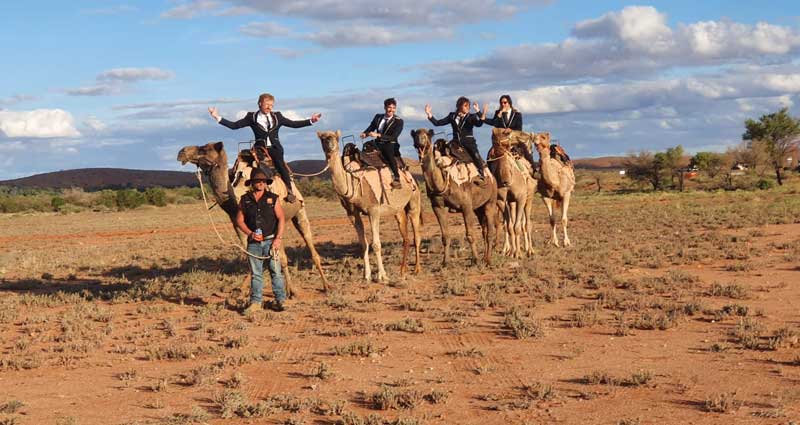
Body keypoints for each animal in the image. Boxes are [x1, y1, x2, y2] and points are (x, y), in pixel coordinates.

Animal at [180, 141, 330, 294]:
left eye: (204, 149)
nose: (182, 152)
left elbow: (280, 259)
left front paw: (292, 291)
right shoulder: (239, 225)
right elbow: (251, 258)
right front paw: (244, 289)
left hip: (300, 211)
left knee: (308, 242)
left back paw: (326, 285)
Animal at [316, 129, 424, 282]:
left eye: (335, 137)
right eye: (323, 138)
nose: (330, 144)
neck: (352, 182)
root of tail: (410, 175)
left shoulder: (374, 210)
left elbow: (376, 244)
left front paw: (381, 276)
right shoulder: (352, 214)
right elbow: (364, 244)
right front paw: (366, 275)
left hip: (414, 201)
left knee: (416, 235)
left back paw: (416, 269)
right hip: (398, 210)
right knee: (406, 238)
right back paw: (402, 271)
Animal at [412, 127, 494, 264]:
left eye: (428, 135)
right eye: (415, 135)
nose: (420, 141)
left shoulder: (466, 206)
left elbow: (470, 234)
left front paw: (475, 260)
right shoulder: (438, 206)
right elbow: (445, 235)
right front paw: (445, 262)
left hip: (490, 202)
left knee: (489, 230)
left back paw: (487, 260)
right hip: (478, 207)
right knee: (484, 228)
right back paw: (485, 257)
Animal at [488, 127, 536, 256]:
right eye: (508, 132)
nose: (526, 135)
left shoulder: (521, 198)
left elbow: (517, 227)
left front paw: (518, 253)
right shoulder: (501, 201)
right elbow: (510, 226)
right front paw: (512, 252)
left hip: (529, 198)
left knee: (527, 224)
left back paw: (530, 250)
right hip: (511, 202)